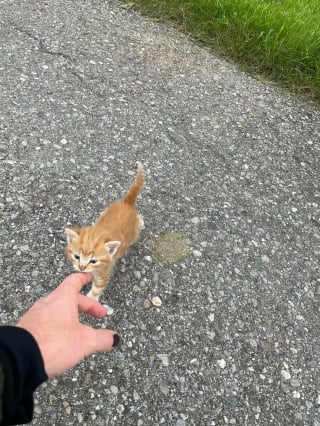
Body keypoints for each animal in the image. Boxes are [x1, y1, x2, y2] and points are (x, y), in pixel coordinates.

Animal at [65, 161, 145, 302]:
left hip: (134, 233)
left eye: (93, 261)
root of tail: (127, 204)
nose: (81, 267)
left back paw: (140, 221)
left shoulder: (104, 271)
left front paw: (91, 298)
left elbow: (98, 287)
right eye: (76, 256)